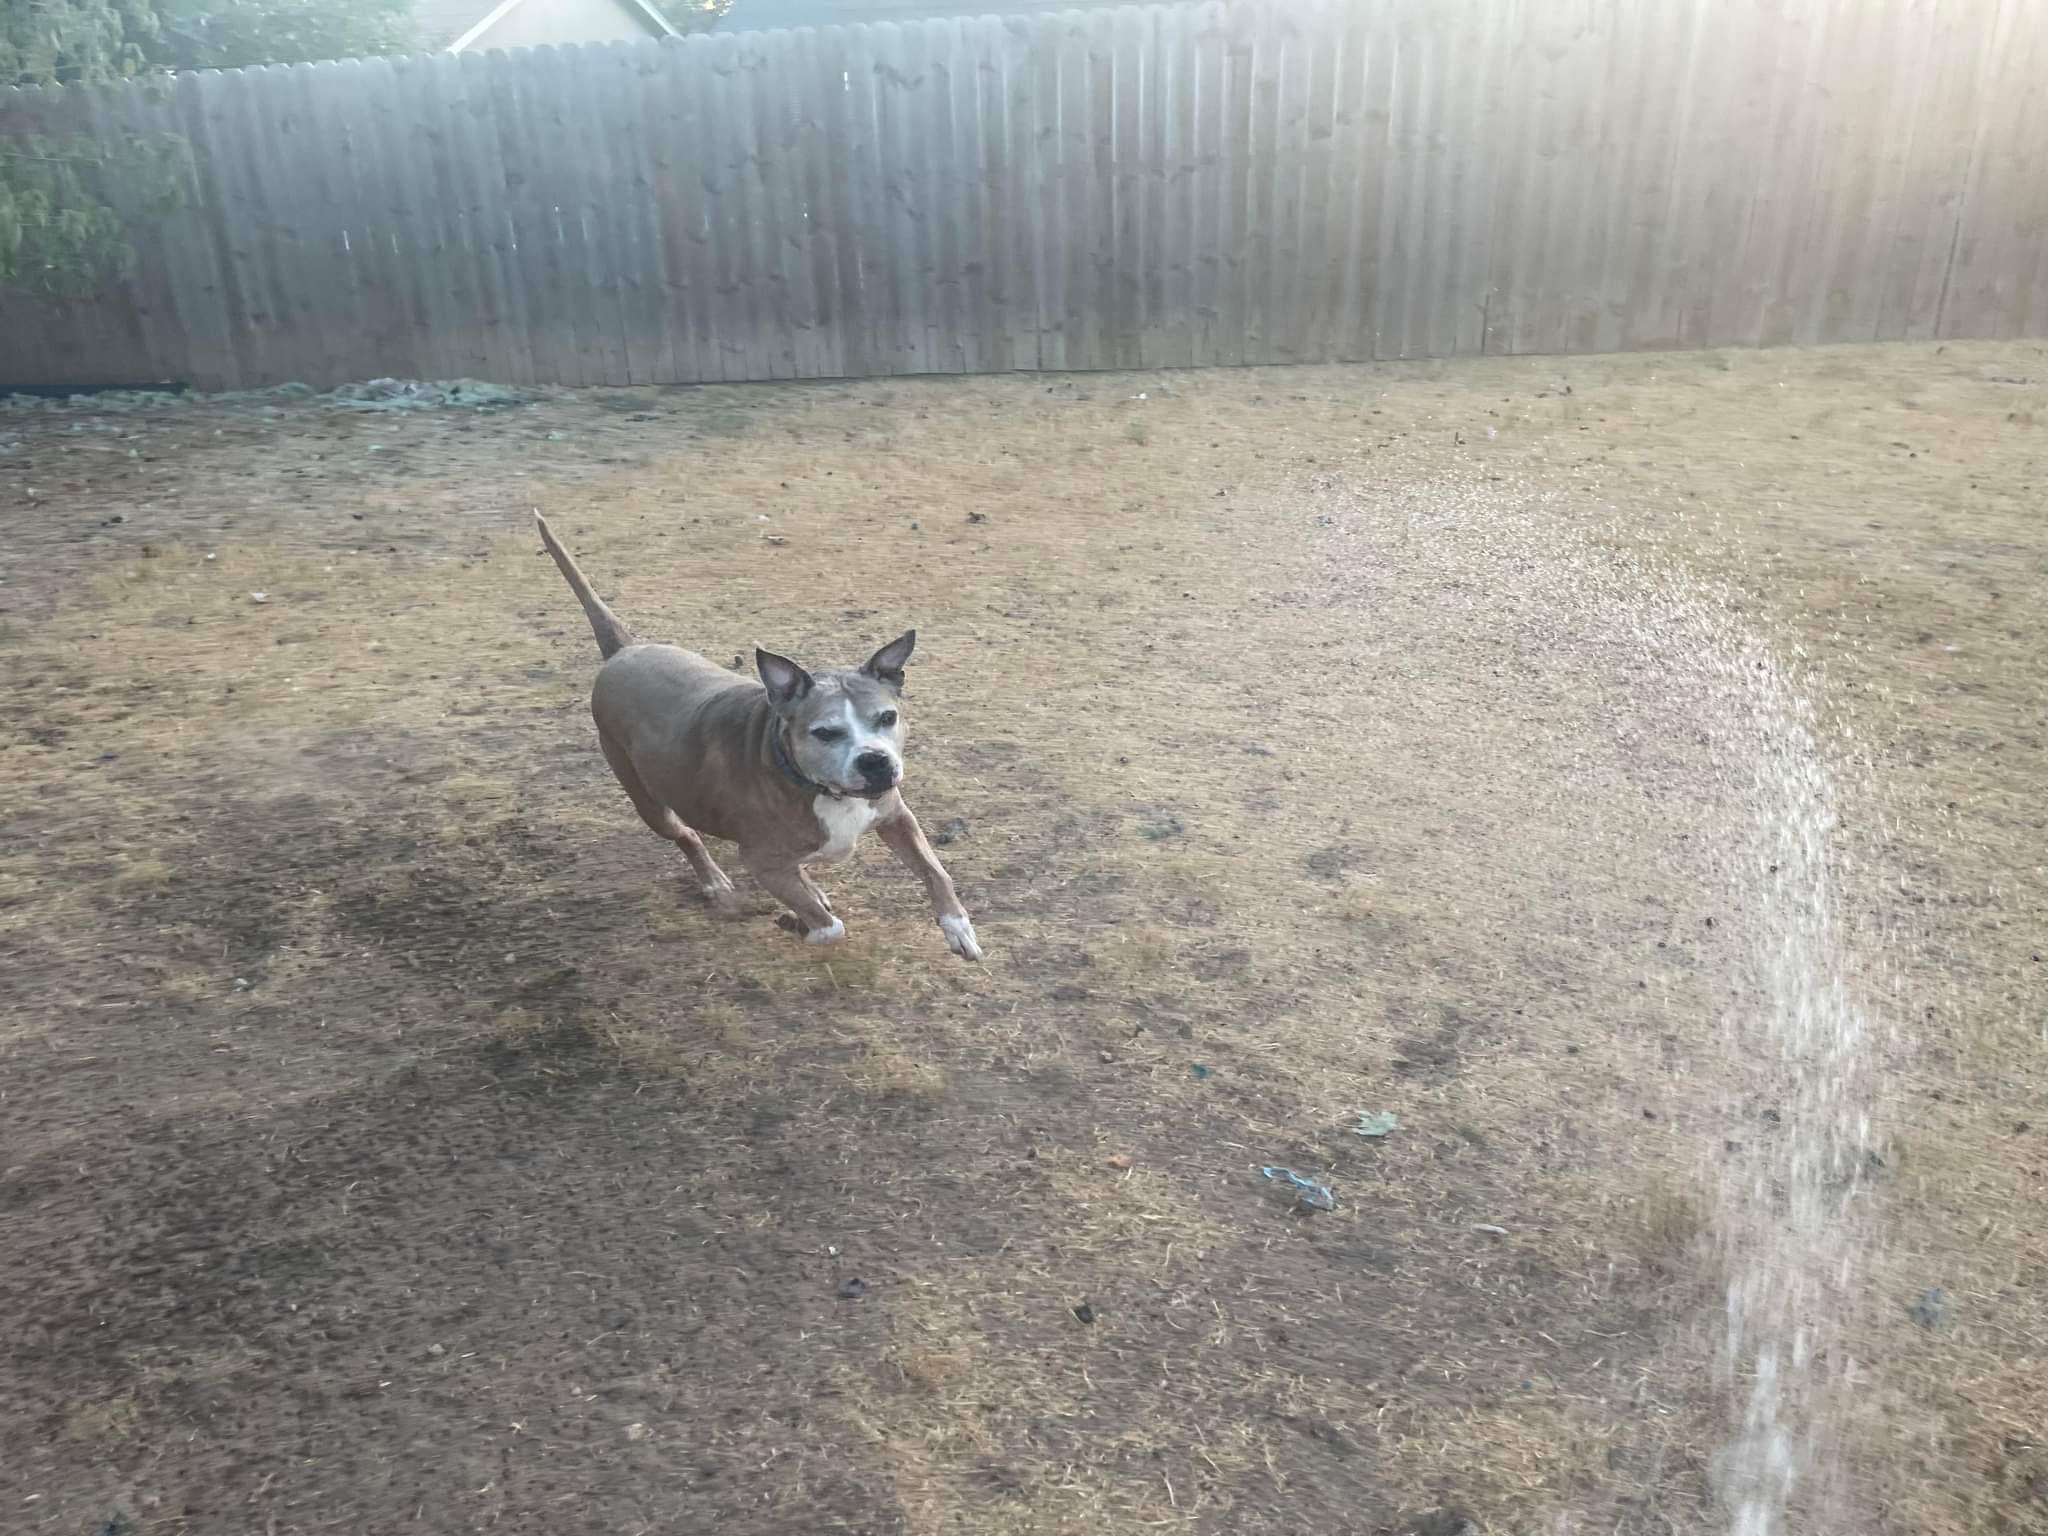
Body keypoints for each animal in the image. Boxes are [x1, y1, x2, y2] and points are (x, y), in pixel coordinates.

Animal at [536, 518, 983, 962]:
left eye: (887, 717)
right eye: (825, 732)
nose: (875, 761)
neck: (823, 790)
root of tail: (623, 651)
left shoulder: (896, 816)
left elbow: (936, 871)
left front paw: (958, 926)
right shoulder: (759, 860)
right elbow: (829, 928)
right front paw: (799, 923)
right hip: (646, 797)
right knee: (686, 835)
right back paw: (716, 881)